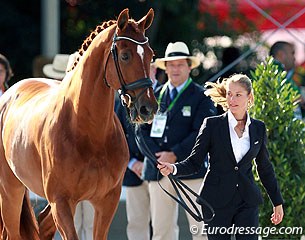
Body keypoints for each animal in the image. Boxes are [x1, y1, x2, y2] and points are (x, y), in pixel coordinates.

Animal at [0, 8, 157, 239]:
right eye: (125, 56)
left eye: (151, 55)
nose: (148, 108)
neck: (89, 131)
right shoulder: (61, 202)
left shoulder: (107, 201)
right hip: (10, 191)